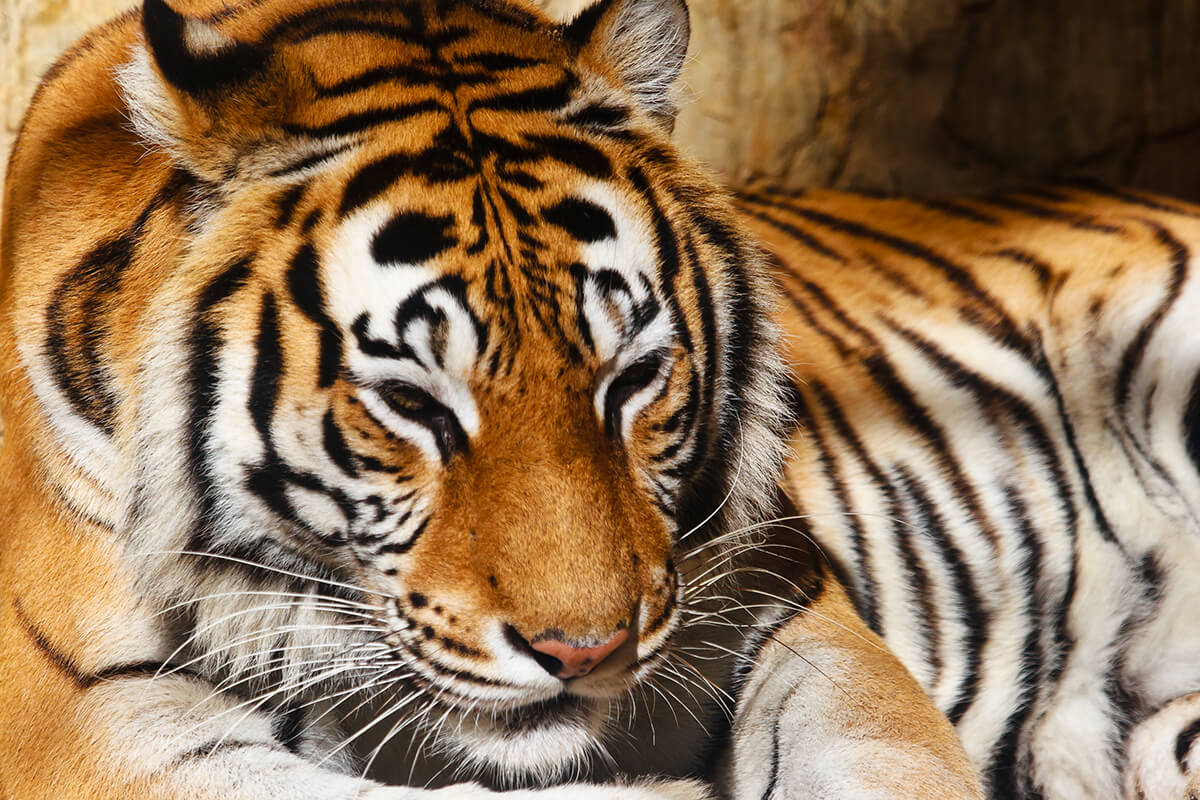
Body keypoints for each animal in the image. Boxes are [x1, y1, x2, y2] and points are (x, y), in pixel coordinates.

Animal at [0, 1, 984, 800]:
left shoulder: (783, 598)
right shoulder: (97, 718)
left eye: (631, 380)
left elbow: (882, 749)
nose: (585, 653)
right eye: (411, 402)